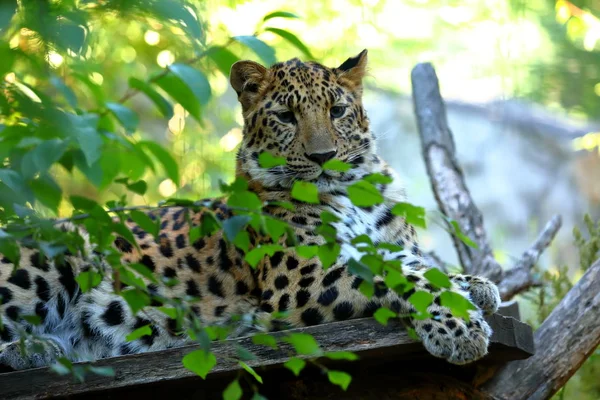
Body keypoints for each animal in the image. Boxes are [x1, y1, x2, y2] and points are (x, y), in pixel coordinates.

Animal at [0, 50, 502, 372]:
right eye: (285, 117)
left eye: (338, 111)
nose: (324, 157)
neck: (353, 193)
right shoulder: (301, 281)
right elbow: (400, 276)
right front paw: (459, 329)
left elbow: (417, 265)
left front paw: (477, 285)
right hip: (54, 252)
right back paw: (37, 348)